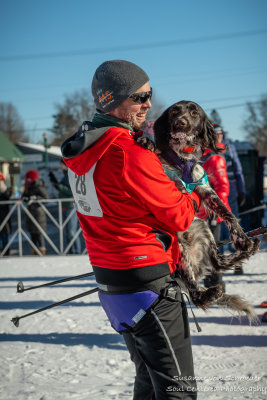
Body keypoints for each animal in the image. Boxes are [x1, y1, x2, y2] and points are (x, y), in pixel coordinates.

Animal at [140, 101, 262, 322]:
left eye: (194, 112)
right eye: (174, 111)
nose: (180, 122)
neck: (182, 159)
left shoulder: (204, 188)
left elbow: (228, 214)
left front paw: (240, 238)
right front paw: (148, 142)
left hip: (203, 228)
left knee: (218, 263)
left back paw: (248, 248)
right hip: (179, 249)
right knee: (196, 294)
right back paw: (209, 293)